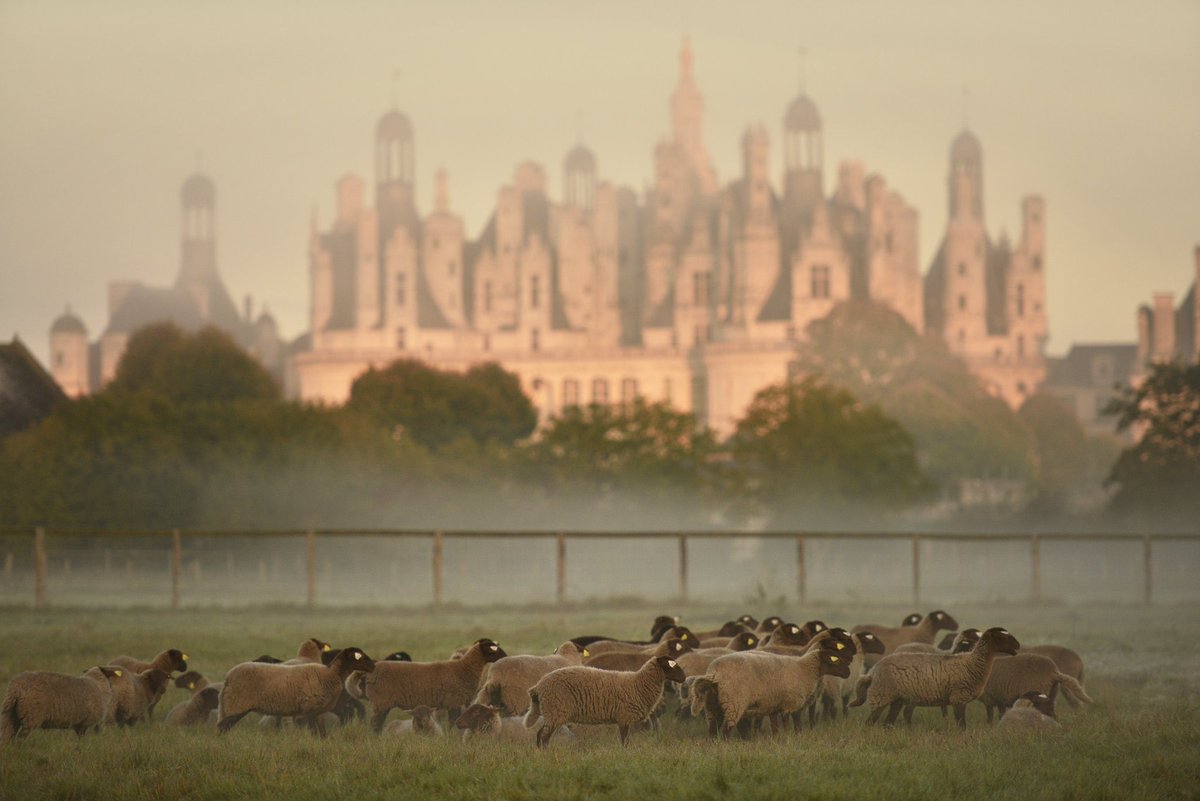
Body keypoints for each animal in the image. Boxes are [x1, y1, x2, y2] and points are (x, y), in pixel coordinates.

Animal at [218, 647, 372, 733]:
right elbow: (315, 733)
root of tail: (228, 677)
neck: (331, 674)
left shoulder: (317, 712)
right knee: (222, 728)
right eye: (359, 656)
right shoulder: (310, 710)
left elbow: (322, 734)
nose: (373, 665)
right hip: (236, 705)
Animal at [364, 637, 506, 733]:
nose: (506, 656)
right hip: (381, 702)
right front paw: (452, 736)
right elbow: (452, 722)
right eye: (492, 650)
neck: (462, 669)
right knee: (375, 724)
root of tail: (374, 669)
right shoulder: (453, 702)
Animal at [523, 657, 686, 743]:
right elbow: (625, 740)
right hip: (555, 710)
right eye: (671, 666)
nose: (684, 677)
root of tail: (539, 686)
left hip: (551, 713)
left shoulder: (624, 719)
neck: (638, 683)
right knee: (544, 736)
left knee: (540, 734)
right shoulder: (624, 717)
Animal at [691, 642, 849, 738]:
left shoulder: (774, 707)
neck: (805, 670)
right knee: (726, 730)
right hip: (734, 702)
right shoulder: (790, 704)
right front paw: (793, 737)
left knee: (713, 729)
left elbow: (776, 727)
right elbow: (793, 723)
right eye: (836, 659)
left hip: (712, 705)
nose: (848, 673)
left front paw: (779, 739)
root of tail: (714, 673)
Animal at [849, 623, 1017, 733]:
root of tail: (872, 672)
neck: (971, 663)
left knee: (887, 723)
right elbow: (962, 725)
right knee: (870, 722)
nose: (1017, 645)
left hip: (896, 699)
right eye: (1002, 637)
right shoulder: (958, 698)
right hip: (881, 695)